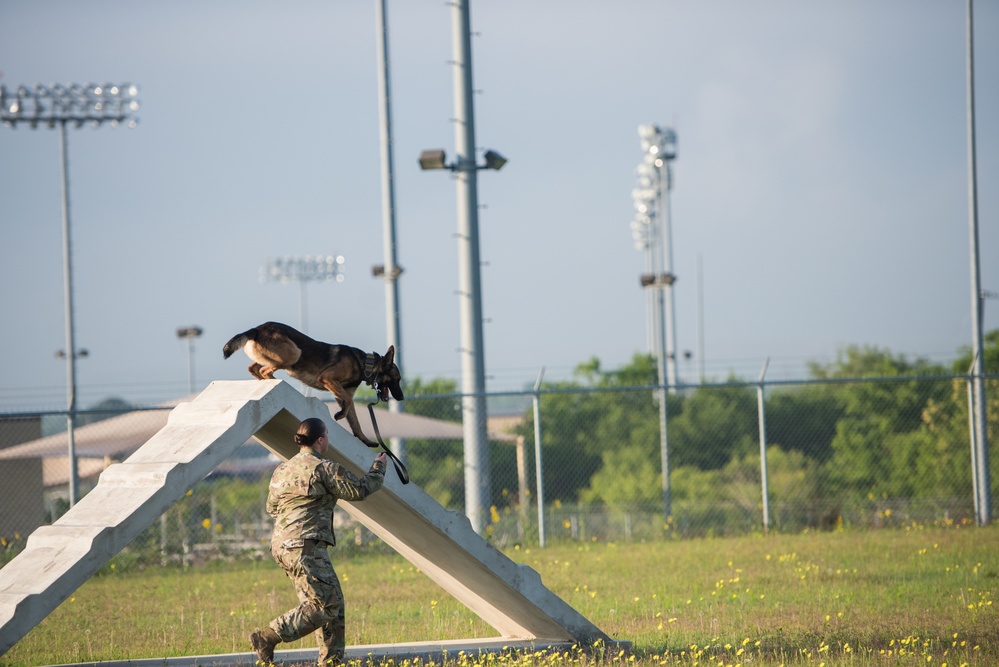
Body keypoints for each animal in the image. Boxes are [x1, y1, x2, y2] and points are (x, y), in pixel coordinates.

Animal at [223, 320, 402, 446]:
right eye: (397, 379)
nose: (401, 398)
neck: (365, 364)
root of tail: (257, 329)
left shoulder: (341, 391)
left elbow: (354, 419)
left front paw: (365, 440)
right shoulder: (328, 378)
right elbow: (348, 402)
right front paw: (339, 414)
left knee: (253, 369)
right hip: (294, 354)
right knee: (263, 371)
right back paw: (276, 382)